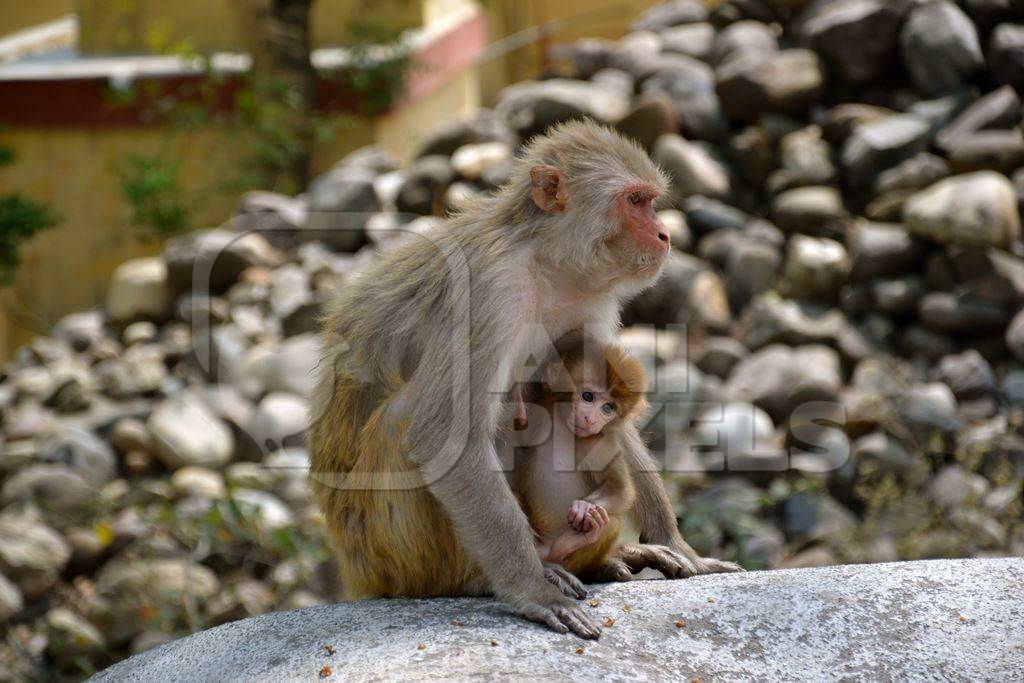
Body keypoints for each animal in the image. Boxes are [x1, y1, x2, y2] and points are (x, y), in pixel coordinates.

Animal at [516, 331, 651, 581]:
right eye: (588, 396)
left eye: (608, 408)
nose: (591, 419)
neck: (563, 429)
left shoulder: (600, 443)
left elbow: (620, 488)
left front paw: (584, 508)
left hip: (572, 561)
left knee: (611, 521)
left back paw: (575, 539)